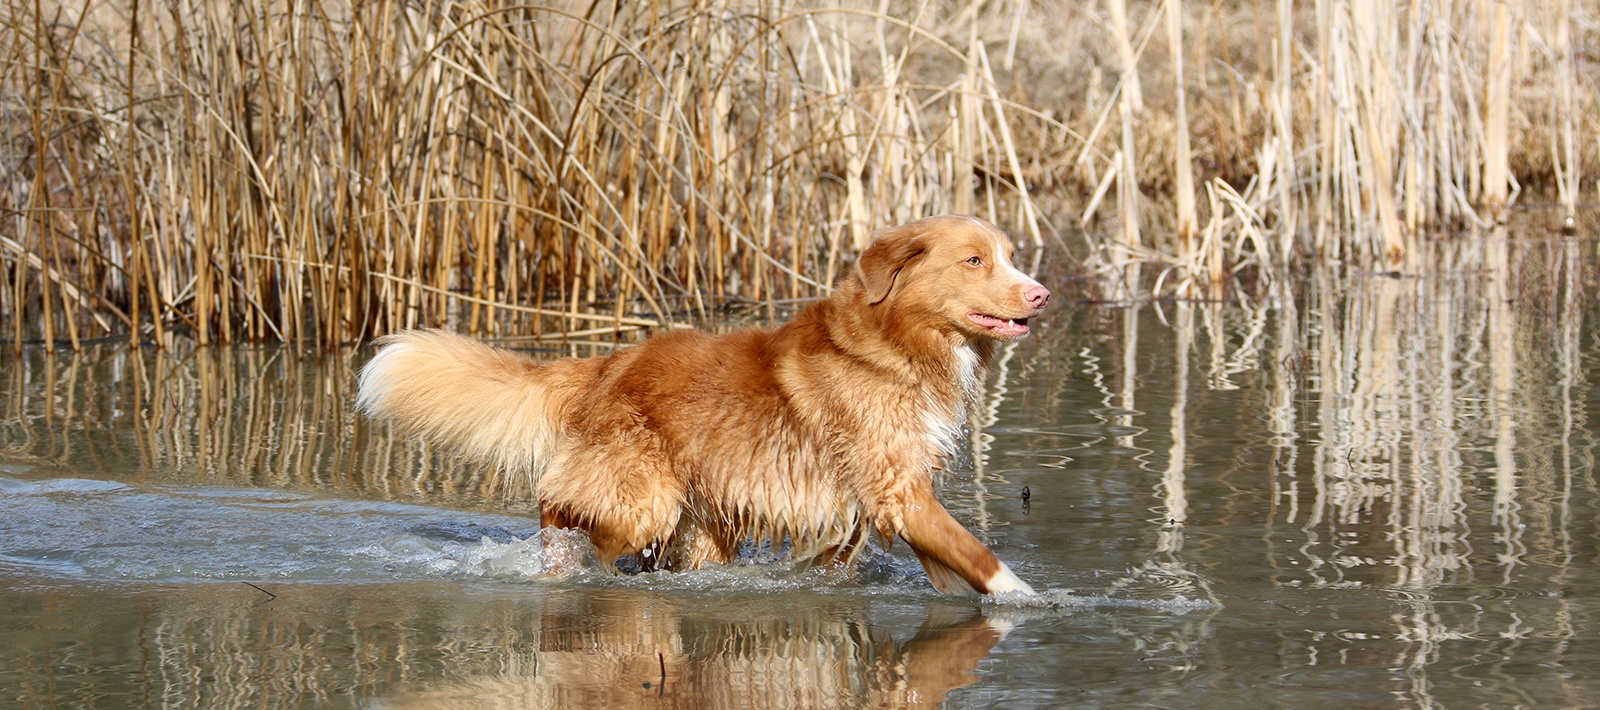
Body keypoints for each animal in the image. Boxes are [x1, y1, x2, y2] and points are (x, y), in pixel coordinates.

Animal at [355, 214, 1043, 594]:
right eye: (975, 260)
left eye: (1011, 256)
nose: (1040, 294)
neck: (898, 345)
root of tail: (610, 363)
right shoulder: (900, 490)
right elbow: (979, 554)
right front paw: (1031, 599)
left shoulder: (878, 501)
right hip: (638, 500)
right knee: (561, 508)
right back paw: (558, 565)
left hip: (701, 524)